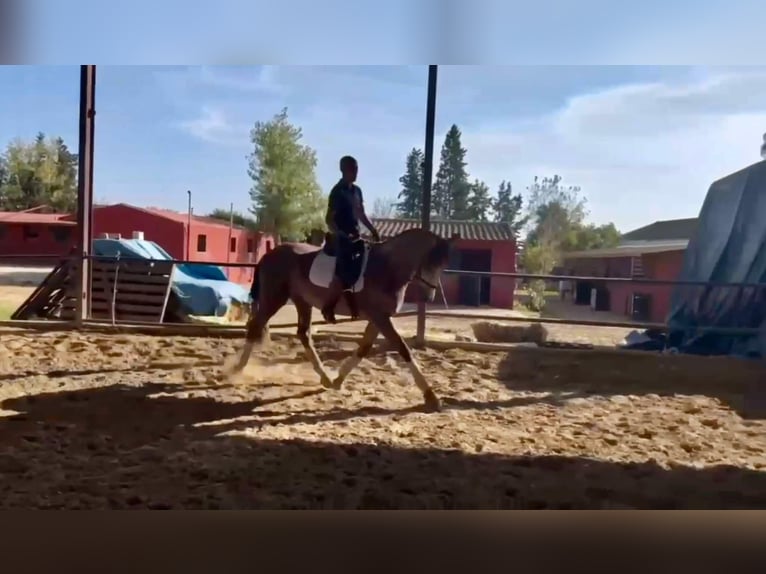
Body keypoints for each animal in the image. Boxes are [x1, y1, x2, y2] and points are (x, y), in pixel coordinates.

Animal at [225, 227, 460, 412]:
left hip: (302, 301)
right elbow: (403, 349)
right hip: (275, 298)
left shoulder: (378, 318)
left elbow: (364, 348)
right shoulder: (381, 317)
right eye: (430, 262)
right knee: (256, 327)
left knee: (303, 334)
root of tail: (269, 254)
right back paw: (237, 370)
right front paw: (431, 396)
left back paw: (325, 378)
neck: (387, 268)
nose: (429, 297)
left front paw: (338, 380)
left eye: (443, 264)